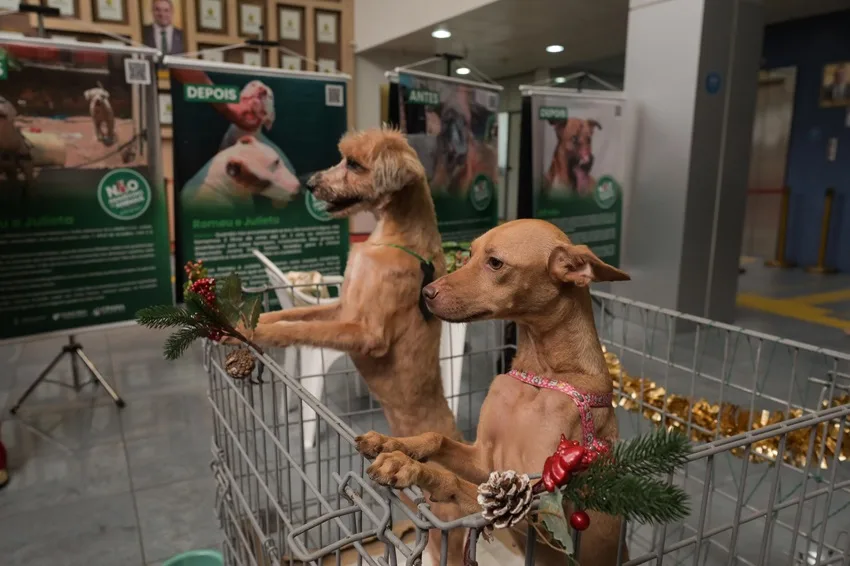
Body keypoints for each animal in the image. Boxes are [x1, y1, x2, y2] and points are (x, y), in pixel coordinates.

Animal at [235, 129, 468, 566]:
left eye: (355, 165)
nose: (310, 184)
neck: (390, 237)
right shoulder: (342, 307)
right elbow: (291, 317)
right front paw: (247, 324)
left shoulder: (364, 332)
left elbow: (300, 330)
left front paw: (251, 334)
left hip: (447, 525)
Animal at [354, 221, 628, 566]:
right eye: (469, 253)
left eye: (495, 263)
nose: (426, 293)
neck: (540, 375)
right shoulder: (485, 461)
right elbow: (436, 437)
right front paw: (393, 443)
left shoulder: (539, 508)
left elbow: (458, 483)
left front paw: (412, 467)